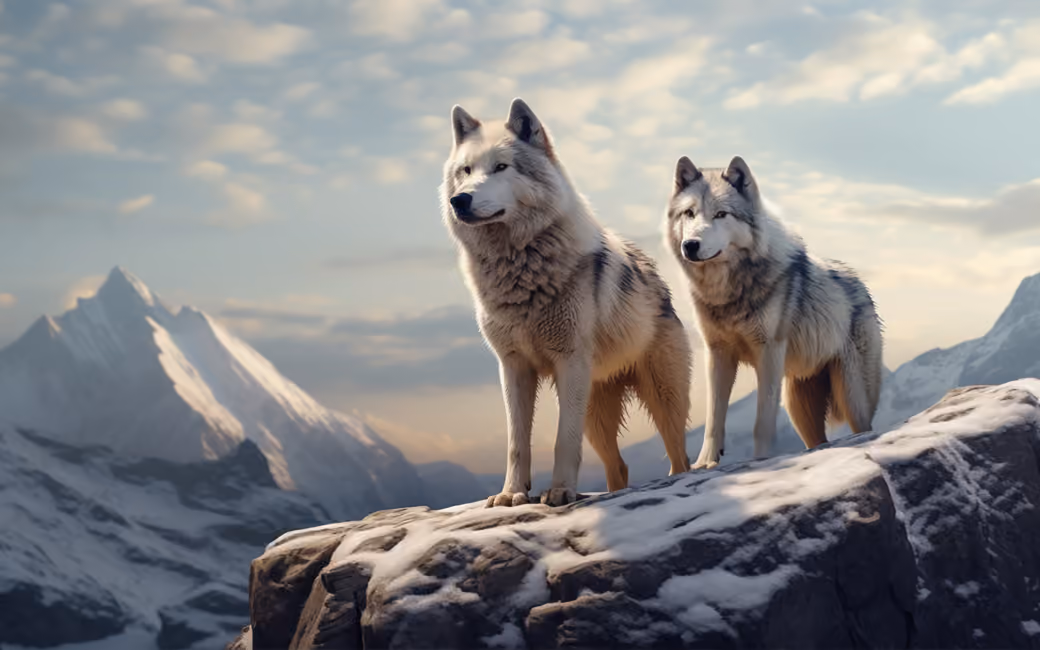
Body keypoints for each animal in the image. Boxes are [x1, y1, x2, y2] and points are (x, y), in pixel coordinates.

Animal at [441, 98, 692, 507]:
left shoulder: (569, 362)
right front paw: (511, 493)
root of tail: (655, 274)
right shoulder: (513, 368)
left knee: (679, 455)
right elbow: (516, 443)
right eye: (466, 171)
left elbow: (563, 440)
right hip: (596, 413)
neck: (518, 267)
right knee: (619, 467)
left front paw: (560, 491)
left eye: (501, 167)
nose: (459, 200)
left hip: (659, 398)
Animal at [664, 155, 883, 469]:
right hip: (800, 410)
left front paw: (762, 459)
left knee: (864, 427)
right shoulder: (717, 354)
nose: (690, 245)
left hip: (853, 400)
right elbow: (714, 418)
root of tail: (862, 285)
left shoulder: (768, 353)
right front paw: (705, 463)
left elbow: (762, 421)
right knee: (817, 442)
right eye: (689, 213)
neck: (728, 293)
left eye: (721, 214)